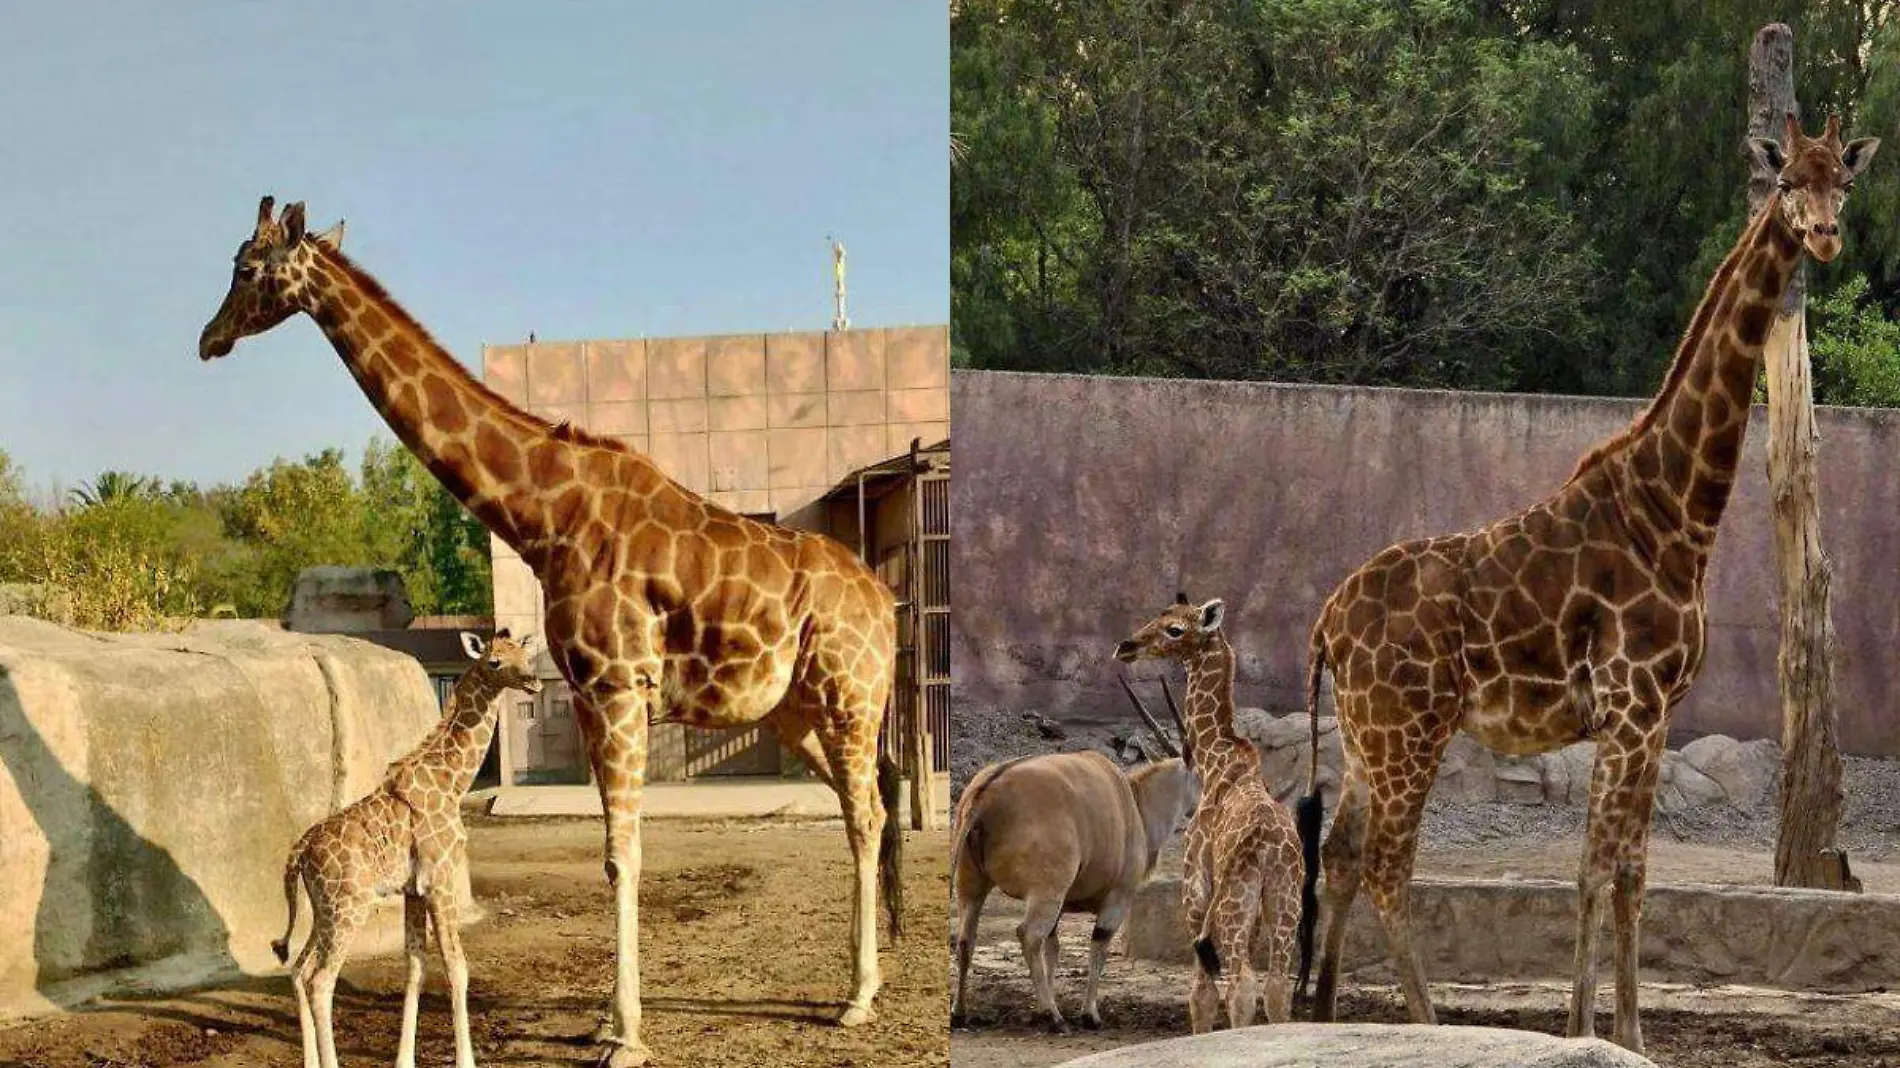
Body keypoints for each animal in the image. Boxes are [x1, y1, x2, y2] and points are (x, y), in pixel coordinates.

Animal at [275, 627, 543, 1064]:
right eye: (494, 662)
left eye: (525, 655)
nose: (533, 682)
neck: (453, 782)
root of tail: (299, 851)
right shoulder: (441, 881)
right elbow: (457, 967)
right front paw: (467, 1060)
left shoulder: (414, 890)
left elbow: (415, 969)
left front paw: (404, 1058)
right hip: (349, 906)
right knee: (320, 980)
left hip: (323, 909)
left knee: (298, 969)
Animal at [1117, 592, 1314, 1026]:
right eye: (1161, 614)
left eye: (1175, 629)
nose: (1126, 647)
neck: (1217, 762)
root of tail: (1270, 848)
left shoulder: (1195, 887)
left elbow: (1201, 992)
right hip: (1284, 903)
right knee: (1277, 987)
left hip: (1234, 903)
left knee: (1241, 983)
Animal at [1307, 116, 1869, 1048]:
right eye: (1788, 179)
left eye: (1844, 183)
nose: (1825, 235)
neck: (1674, 513)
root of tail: (1326, 624)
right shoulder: (1630, 707)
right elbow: (1595, 870)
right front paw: (1583, 1030)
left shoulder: (1655, 718)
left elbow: (1631, 873)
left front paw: (1632, 1035)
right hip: (1407, 732)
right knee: (1388, 868)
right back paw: (1428, 1026)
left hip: (1363, 739)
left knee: (1343, 857)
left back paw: (1311, 1015)